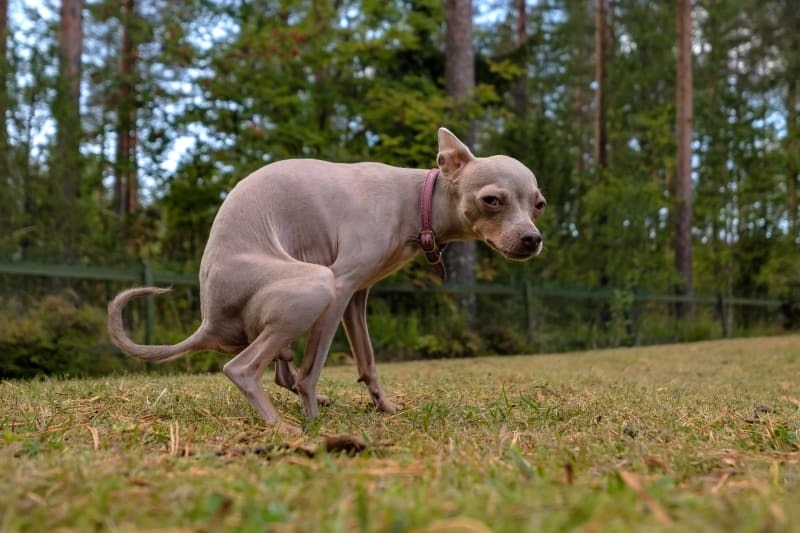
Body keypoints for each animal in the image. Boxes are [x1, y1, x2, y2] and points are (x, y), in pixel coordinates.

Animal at [108, 128, 544, 432]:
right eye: (492, 200)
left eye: (538, 204)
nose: (532, 240)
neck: (414, 198)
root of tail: (208, 323)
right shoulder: (340, 286)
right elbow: (311, 372)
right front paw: (313, 417)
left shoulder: (357, 296)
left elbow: (367, 360)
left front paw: (384, 407)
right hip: (314, 285)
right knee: (243, 369)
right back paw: (282, 426)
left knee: (278, 366)